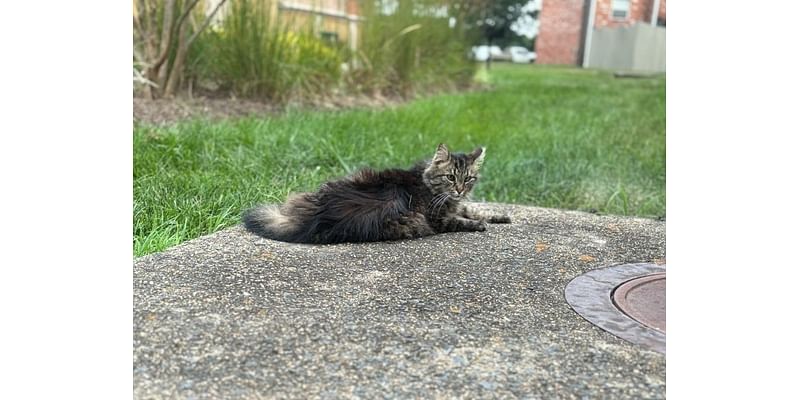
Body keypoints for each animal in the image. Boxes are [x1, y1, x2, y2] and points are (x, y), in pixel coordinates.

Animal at [241, 144, 512, 244]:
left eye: (468, 179)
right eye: (451, 177)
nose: (459, 190)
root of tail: (317, 215)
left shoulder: (456, 204)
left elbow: (477, 209)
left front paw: (501, 216)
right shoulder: (439, 218)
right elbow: (464, 219)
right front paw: (479, 224)